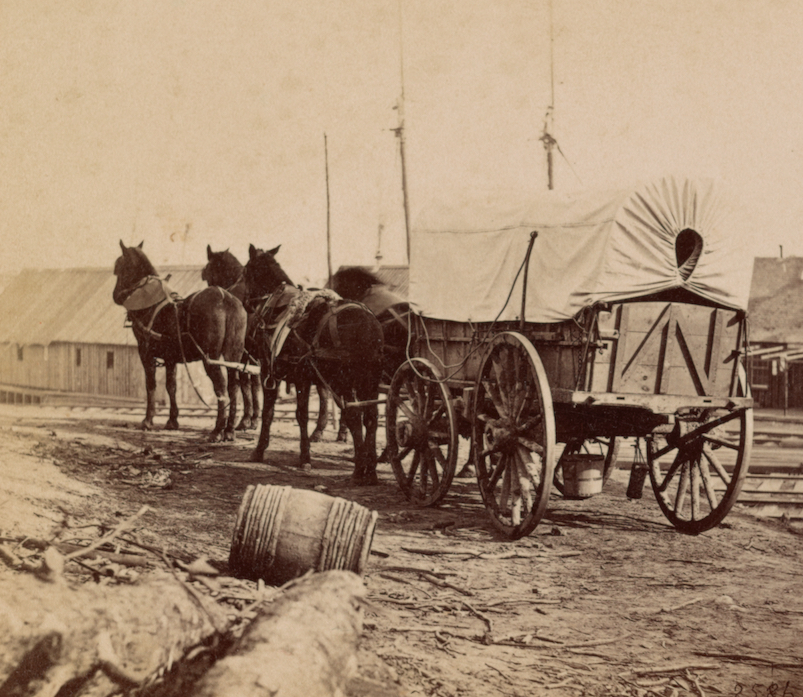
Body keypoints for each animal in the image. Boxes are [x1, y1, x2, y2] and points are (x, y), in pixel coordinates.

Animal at [111, 241, 247, 440]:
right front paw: (172, 420)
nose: (116, 295)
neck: (151, 303)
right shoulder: (170, 358)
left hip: (210, 359)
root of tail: (225, 299)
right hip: (233, 356)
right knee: (233, 386)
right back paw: (229, 429)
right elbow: (171, 387)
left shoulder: (145, 353)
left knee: (221, 388)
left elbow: (151, 386)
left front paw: (148, 420)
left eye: (119, 267)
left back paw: (217, 429)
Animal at [203, 247, 340, 438]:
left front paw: (246, 420)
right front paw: (252, 419)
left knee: (326, 392)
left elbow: (246, 384)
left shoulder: (251, 357)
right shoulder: (254, 357)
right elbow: (252, 384)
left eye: (207, 271)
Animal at [243, 242, 384, 482]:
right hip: (368, 381)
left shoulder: (273, 373)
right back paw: (371, 470)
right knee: (371, 418)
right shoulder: (303, 378)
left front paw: (264, 451)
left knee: (354, 415)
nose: (244, 301)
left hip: (343, 382)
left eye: (244, 271)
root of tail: (366, 324)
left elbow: (278, 413)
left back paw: (359, 471)